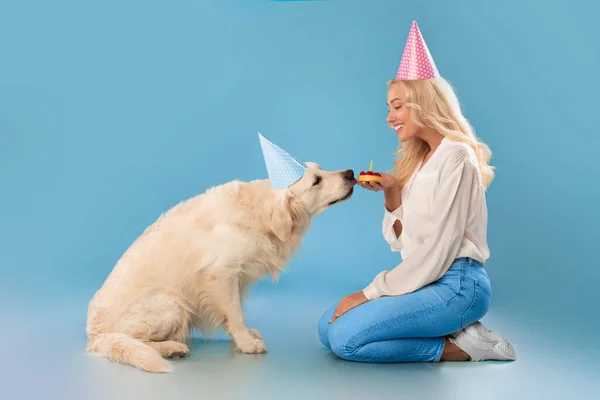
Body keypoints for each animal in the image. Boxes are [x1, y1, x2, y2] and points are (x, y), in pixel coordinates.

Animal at [85, 162, 356, 372]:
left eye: (320, 168)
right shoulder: (221, 274)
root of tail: (96, 336)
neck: (259, 212)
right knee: (133, 340)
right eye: (316, 181)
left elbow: (236, 314)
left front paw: (245, 336)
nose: (350, 173)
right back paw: (172, 348)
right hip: (170, 305)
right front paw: (247, 343)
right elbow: (234, 313)